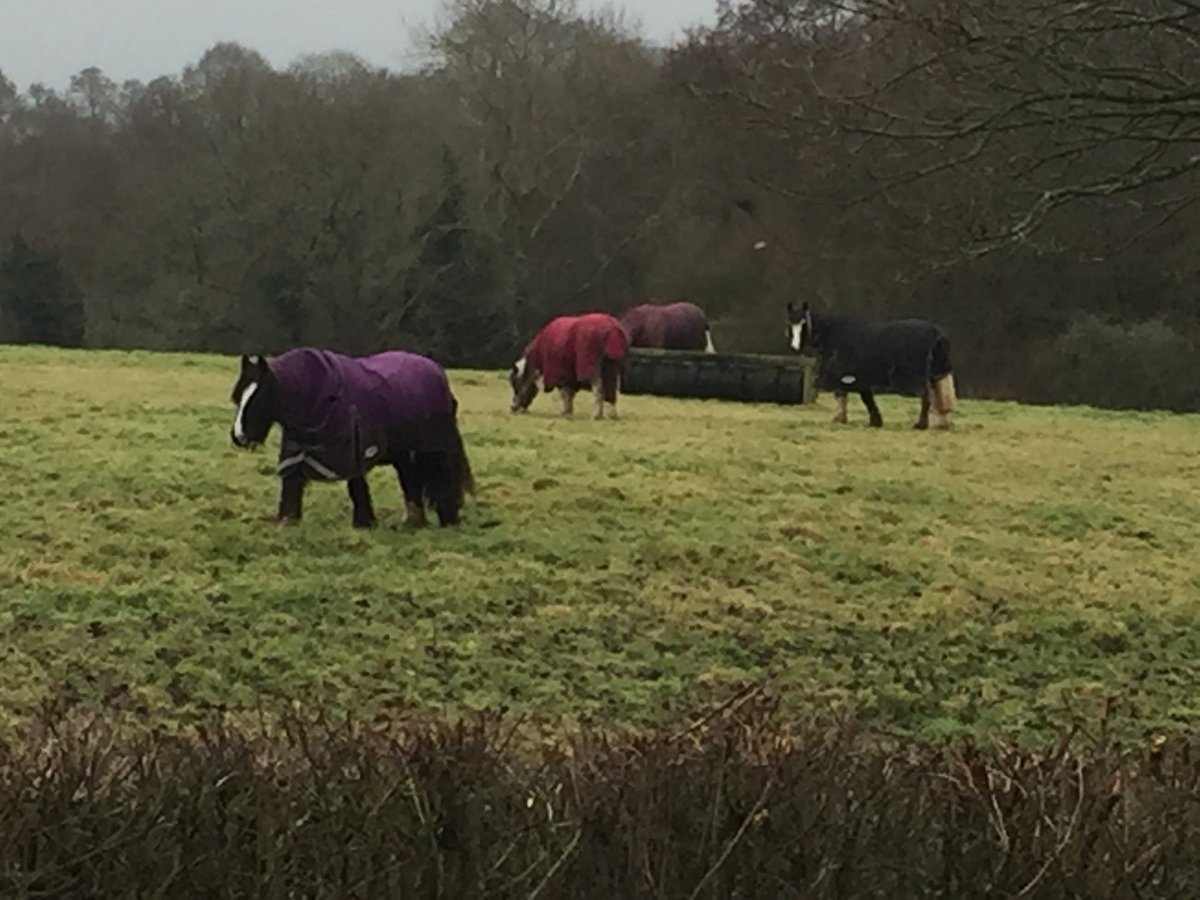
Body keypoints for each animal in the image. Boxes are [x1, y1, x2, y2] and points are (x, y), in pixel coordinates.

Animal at [228, 347, 475, 528]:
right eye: (238, 396)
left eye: (259, 397)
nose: (239, 436)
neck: (319, 400)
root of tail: (437, 372)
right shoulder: (295, 450)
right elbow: (291, 486)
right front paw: (287, 522)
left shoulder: (354, 451)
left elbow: (356, 486)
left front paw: (364, 523)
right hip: (405, 452)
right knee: (410, 480)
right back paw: (414, 522)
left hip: (435, 449)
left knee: (443, 480)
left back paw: (447, 519)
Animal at [786, 301, 957, 429]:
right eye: (790, 323)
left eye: (803, 322)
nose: (795, 347)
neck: (835, 335)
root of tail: (935, 332)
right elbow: (860, 397)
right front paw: (873, 421)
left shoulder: (849, 376)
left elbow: (855, 397)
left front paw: (844, 419)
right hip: (935, 375)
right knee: (938, 399)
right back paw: (940, 424)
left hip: (919, 377)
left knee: (926, 398)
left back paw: (921, 424)